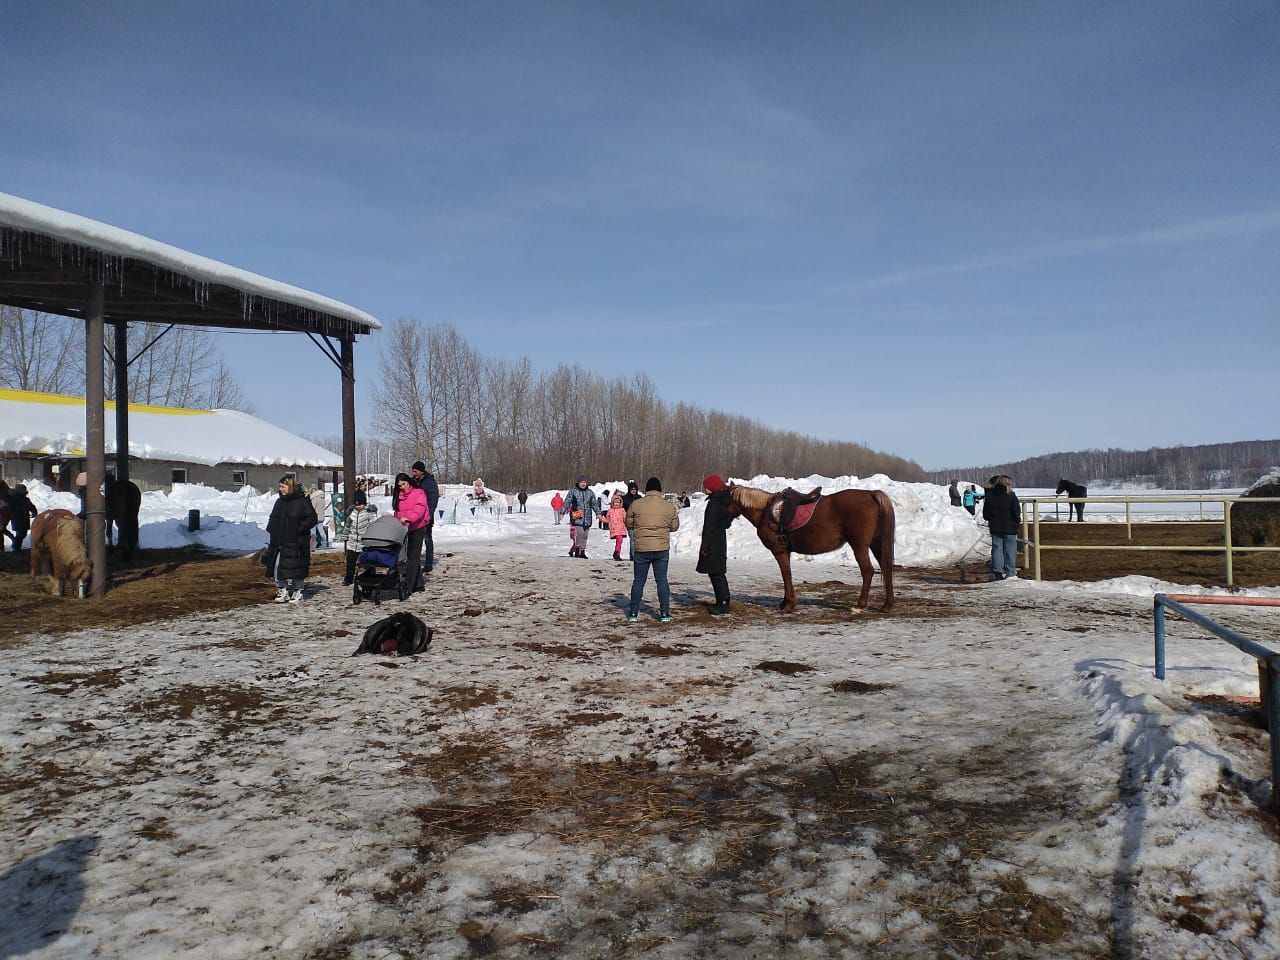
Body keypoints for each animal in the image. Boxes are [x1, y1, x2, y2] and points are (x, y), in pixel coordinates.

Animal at [732, 488, 901, 616]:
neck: (765, 511)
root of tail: (870, 494)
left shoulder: (779, 551)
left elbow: (786, 575)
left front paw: (789, 604)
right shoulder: (786, 551)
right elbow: (787, 575)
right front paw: (786, 602)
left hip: (859, 546)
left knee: (868, 571)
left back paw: (860, 606)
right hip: (876, 544)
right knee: (886, 568)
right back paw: (887, 605)